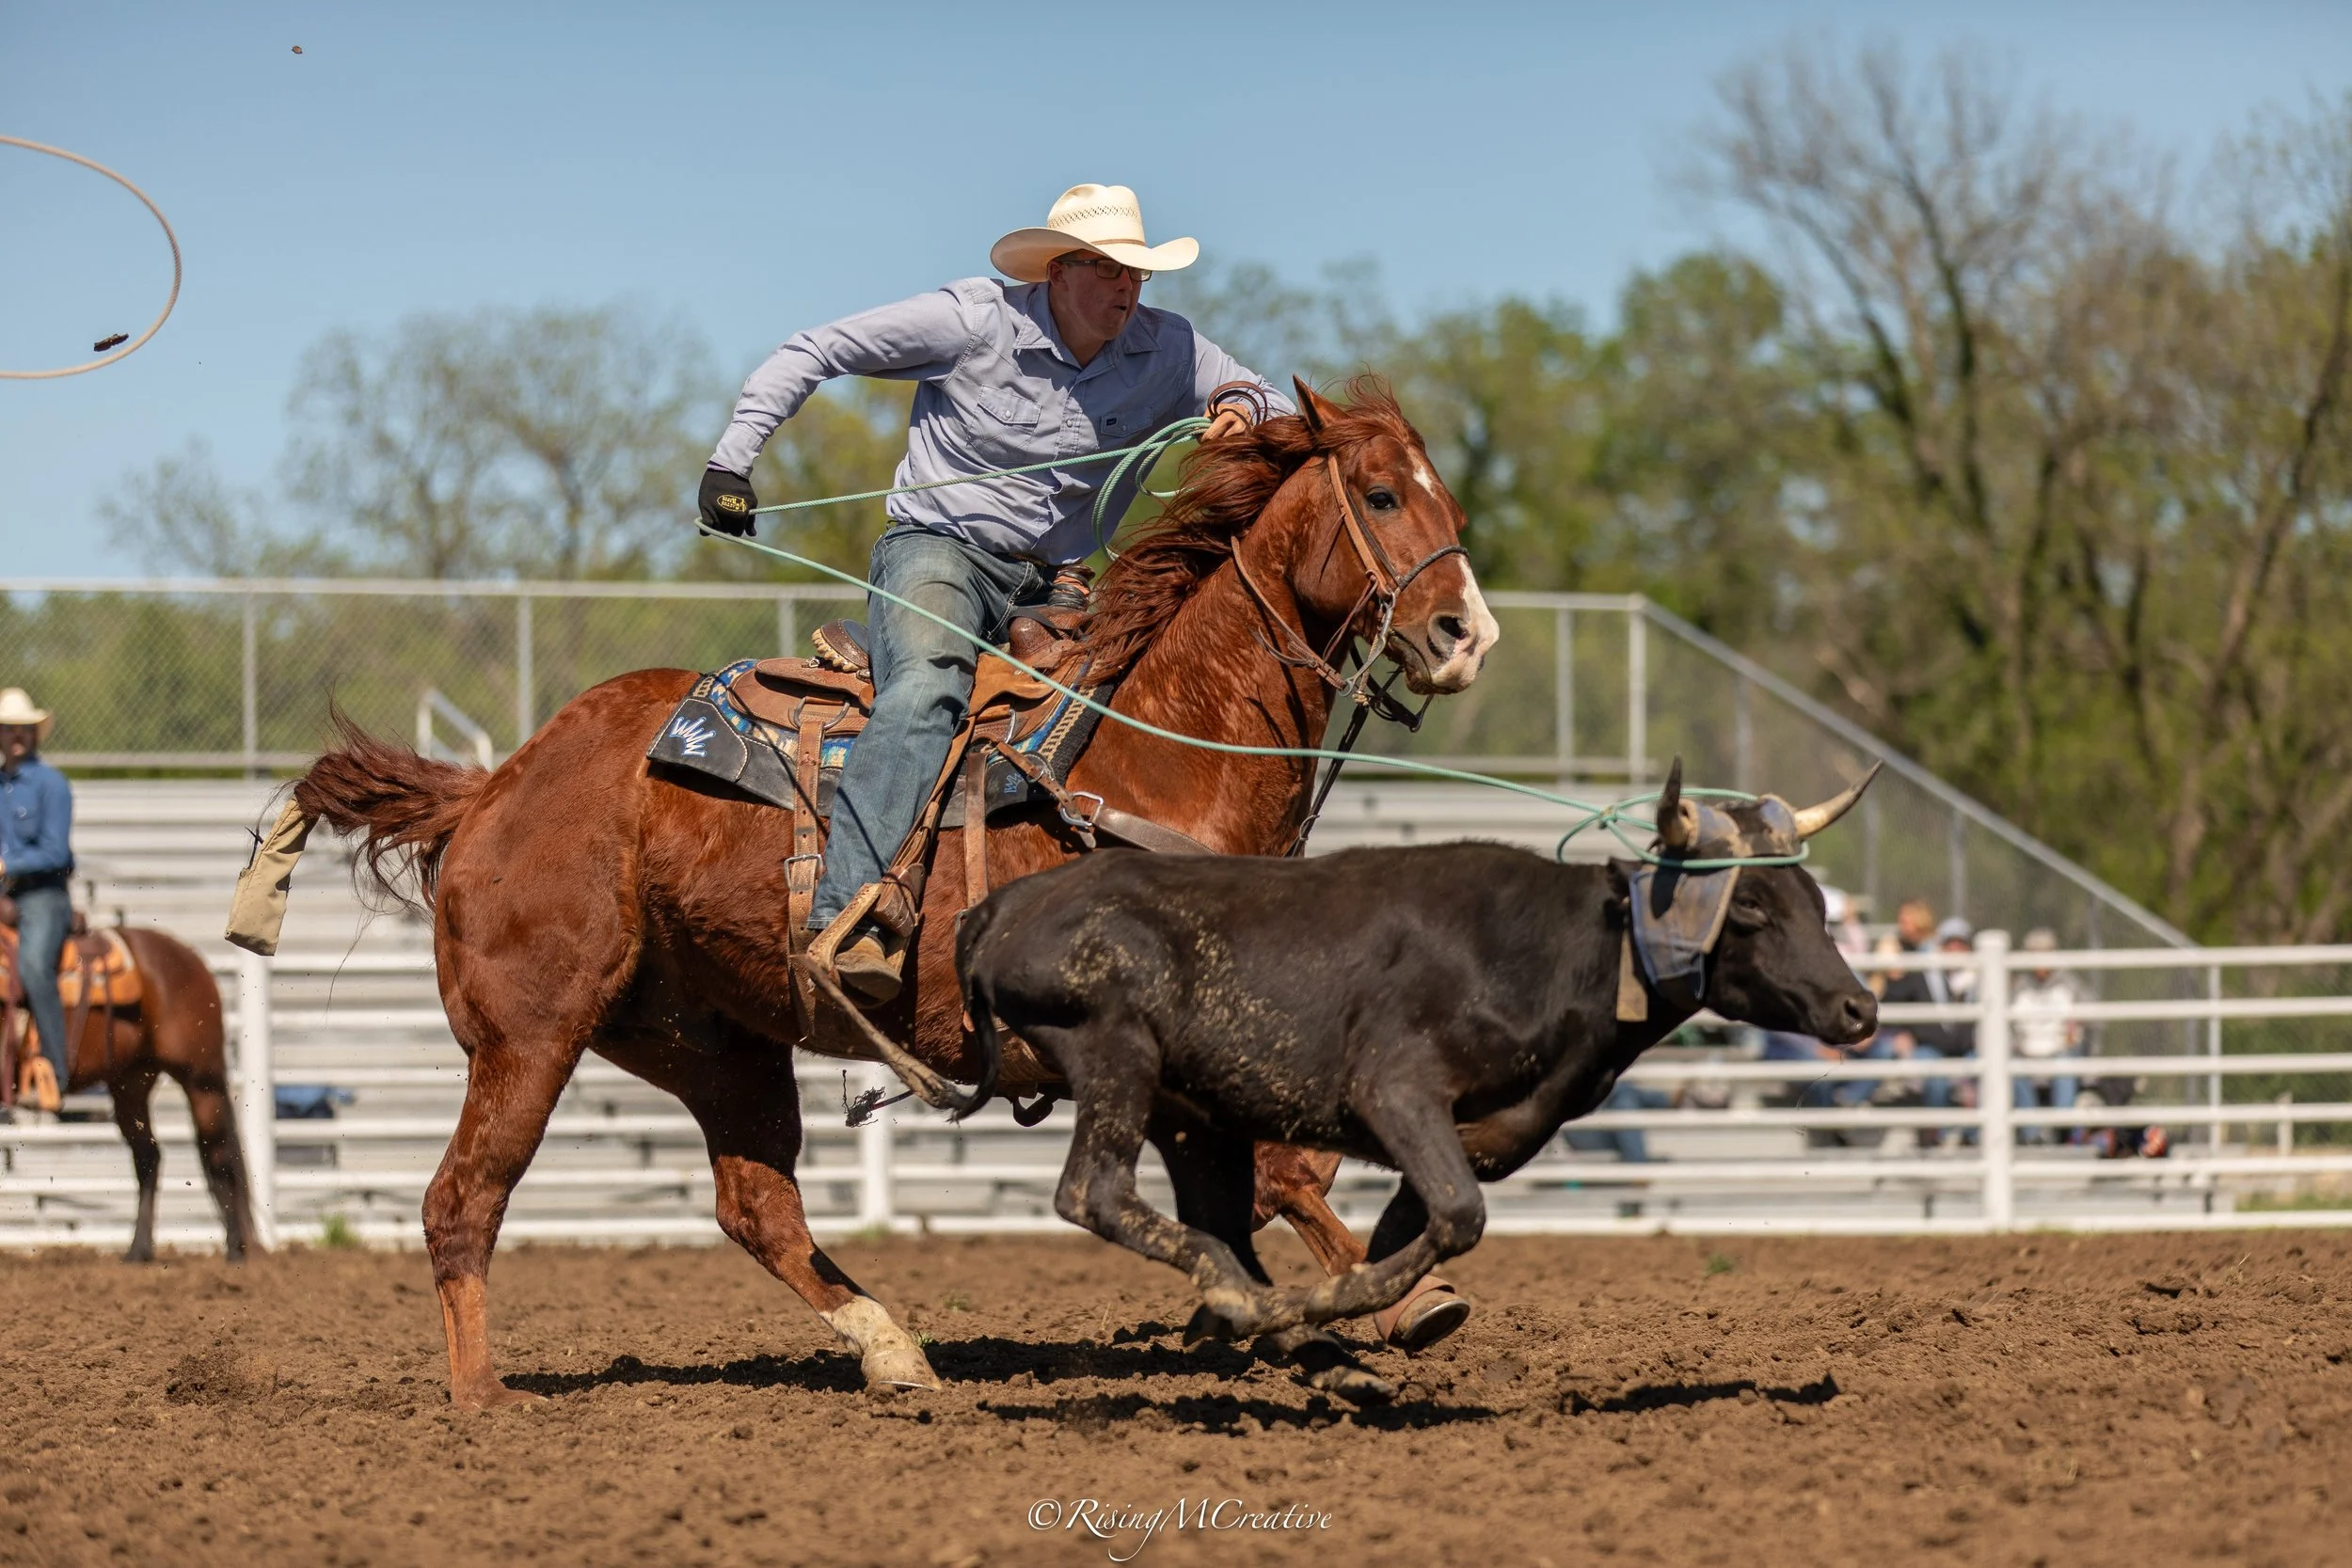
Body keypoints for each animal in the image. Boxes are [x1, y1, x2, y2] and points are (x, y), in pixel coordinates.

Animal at [3, 912, 256, 1261]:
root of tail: (189, 956)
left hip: (201, 1079)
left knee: (217, 1154)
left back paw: (234, 1249)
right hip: (132, 1081)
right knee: (149, 1156)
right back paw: (139, 1250)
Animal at [288, 378, 1500, 1410]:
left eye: (1447, 498)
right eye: (1381, 493)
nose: (1467, 635)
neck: (1146, 755)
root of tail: (498, 780)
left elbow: (1269, 1179)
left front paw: (1342, 1326)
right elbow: (1276, 1172)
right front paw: (1400, 1305)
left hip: (709, 1040)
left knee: (756, 1205)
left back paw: (896, 1351)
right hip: (530, 1032)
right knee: (463, 1199)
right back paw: (483, 1396)